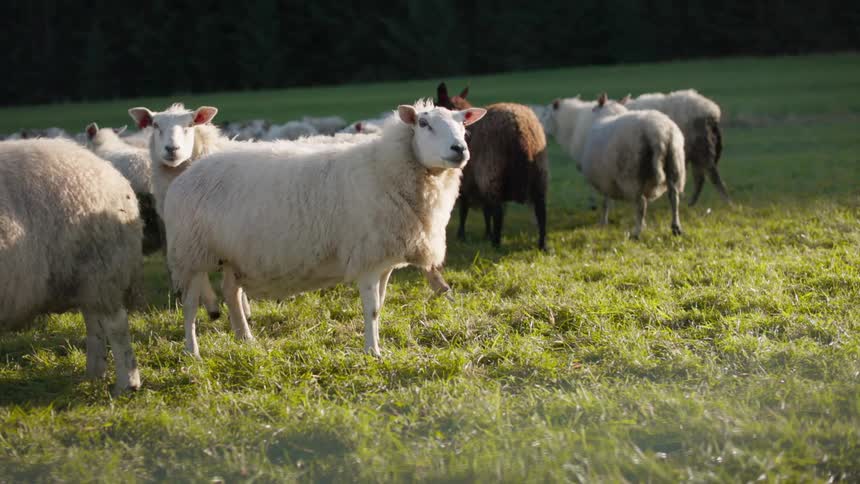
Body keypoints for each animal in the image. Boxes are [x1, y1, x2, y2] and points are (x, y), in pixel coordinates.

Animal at [0, 139, 142, 393]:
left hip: (101, 268)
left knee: (116, 326)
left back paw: (127, 383)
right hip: (85, 279)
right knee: (95, 324)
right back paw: (94, 373)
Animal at [163, 100, 486, 357]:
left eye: (463, 124)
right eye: (423, 123)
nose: (460, 149)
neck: (385, 169)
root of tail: (186, 175)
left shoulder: (384, 260)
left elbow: (380, 306)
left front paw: (376, 346)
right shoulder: (367, 258)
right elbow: (371, 309)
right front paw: (373, 352)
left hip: (232, 254)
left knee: (231, 292)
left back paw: (245, 338)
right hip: (190, 253)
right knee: (190, 305)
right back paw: (192, 351)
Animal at [435, 83, 549, 251]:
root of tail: (519, 129)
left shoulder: (466, 182)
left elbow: (465, 210)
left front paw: (462, 236)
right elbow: (485, 211)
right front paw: (486, 234)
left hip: (492, 174)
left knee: (498, 213)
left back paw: (496, 244)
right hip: (540, 176)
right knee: (541, 212)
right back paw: (542, 245)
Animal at [580, 94, 686, 238]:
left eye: (593, 109)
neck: (608, 113)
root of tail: (659, 133)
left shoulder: (605, 180)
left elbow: (605, 203)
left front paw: (603, 223)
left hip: (632, 174)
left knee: (641, 203)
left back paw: (636, 233)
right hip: (674, 164)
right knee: (674, 197)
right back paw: (676, 228)